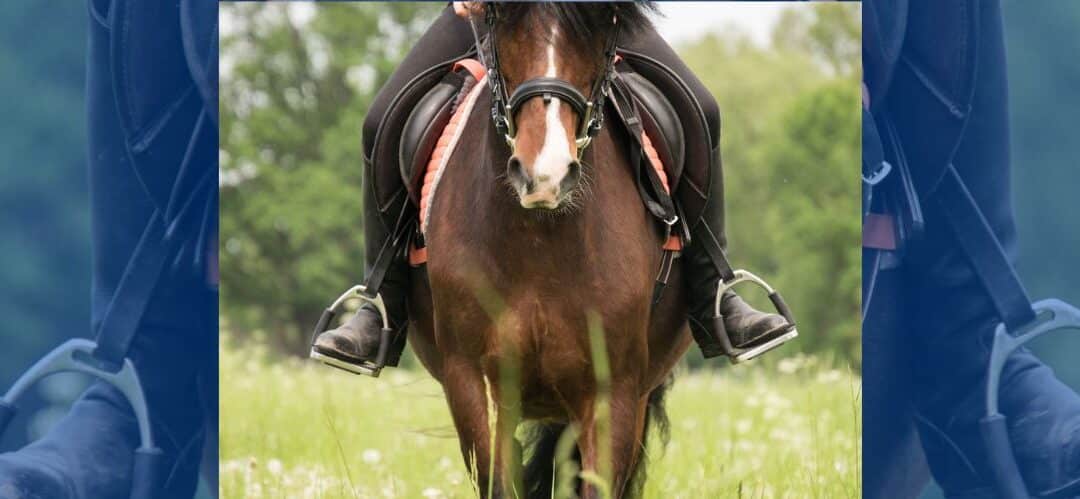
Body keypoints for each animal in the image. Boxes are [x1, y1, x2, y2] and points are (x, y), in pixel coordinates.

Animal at [401, 3, 686, 499]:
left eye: (600, 32)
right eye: (502, 24)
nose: (545, 175)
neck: (539, 244)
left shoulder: (613, 392)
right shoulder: (472, 380)